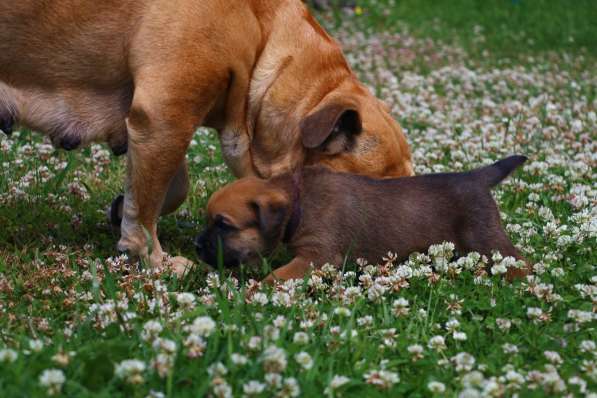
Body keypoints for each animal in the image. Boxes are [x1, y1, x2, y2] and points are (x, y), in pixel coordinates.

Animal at [0, 0, 410, 268]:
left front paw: (120, 209)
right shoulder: (165, 115)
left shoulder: (161, 127)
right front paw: (154, 260)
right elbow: (146, 210)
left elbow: (163, 186)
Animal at [198, 156, 528, 282]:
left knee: (522, 262)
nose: (197, 246)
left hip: (487, 239)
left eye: (223, 225)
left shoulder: (317, 257)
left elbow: (276, 277)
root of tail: (477, 177)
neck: (298, 200)